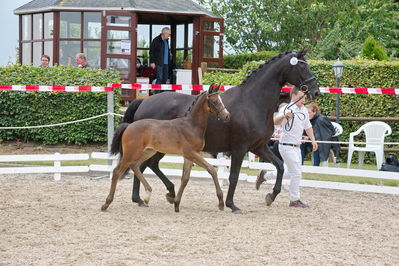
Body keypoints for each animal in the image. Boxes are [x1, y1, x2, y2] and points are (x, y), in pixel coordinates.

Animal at [101, 85, 230, 212]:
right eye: (215, 101)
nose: (227, 116)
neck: (191, 125)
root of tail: (129, 126)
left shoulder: (189, 156)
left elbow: (185, 178)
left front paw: (176, 204)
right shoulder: (191, 153)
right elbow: (211, 170)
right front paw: (220, 202)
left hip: (148, 151)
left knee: (135, 165)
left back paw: (147, 195)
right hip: (131, 152)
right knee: (117, 171)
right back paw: (107, 203)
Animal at [123, 47, 320, 212]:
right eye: (302, 67)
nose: (316, 91)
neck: (252, 102)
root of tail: (143, 102)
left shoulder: (259, 147)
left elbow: (279, 166)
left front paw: (270, 196)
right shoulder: (240, 149)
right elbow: (234, 176)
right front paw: (231, 204)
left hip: (158, 148)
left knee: (146, 165)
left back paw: (159, 195)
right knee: (140, 165)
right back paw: (143, 197)